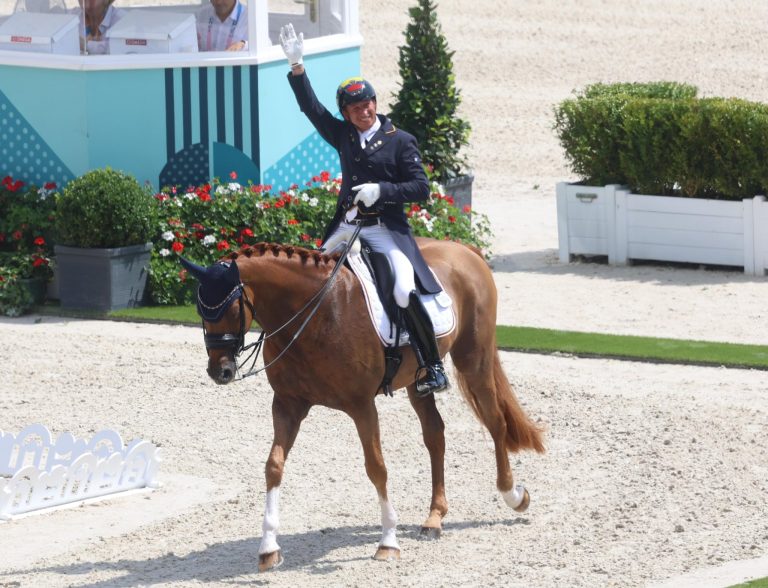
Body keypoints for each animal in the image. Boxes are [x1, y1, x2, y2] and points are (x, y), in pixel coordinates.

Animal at [182, 238, 544, 568]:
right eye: (201, 310)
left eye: (231, 309)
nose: (220, 371)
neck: (315, 313)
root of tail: (463, 249)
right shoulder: (287, 404)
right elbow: (274, 466)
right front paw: (269, 548)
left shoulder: (361, 406)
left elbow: (377, 468)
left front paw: (388, 542)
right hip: (418, 382)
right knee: (435, 435)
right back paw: (434, 517)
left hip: (474, 358)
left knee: (495, 422)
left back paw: (514, 496)